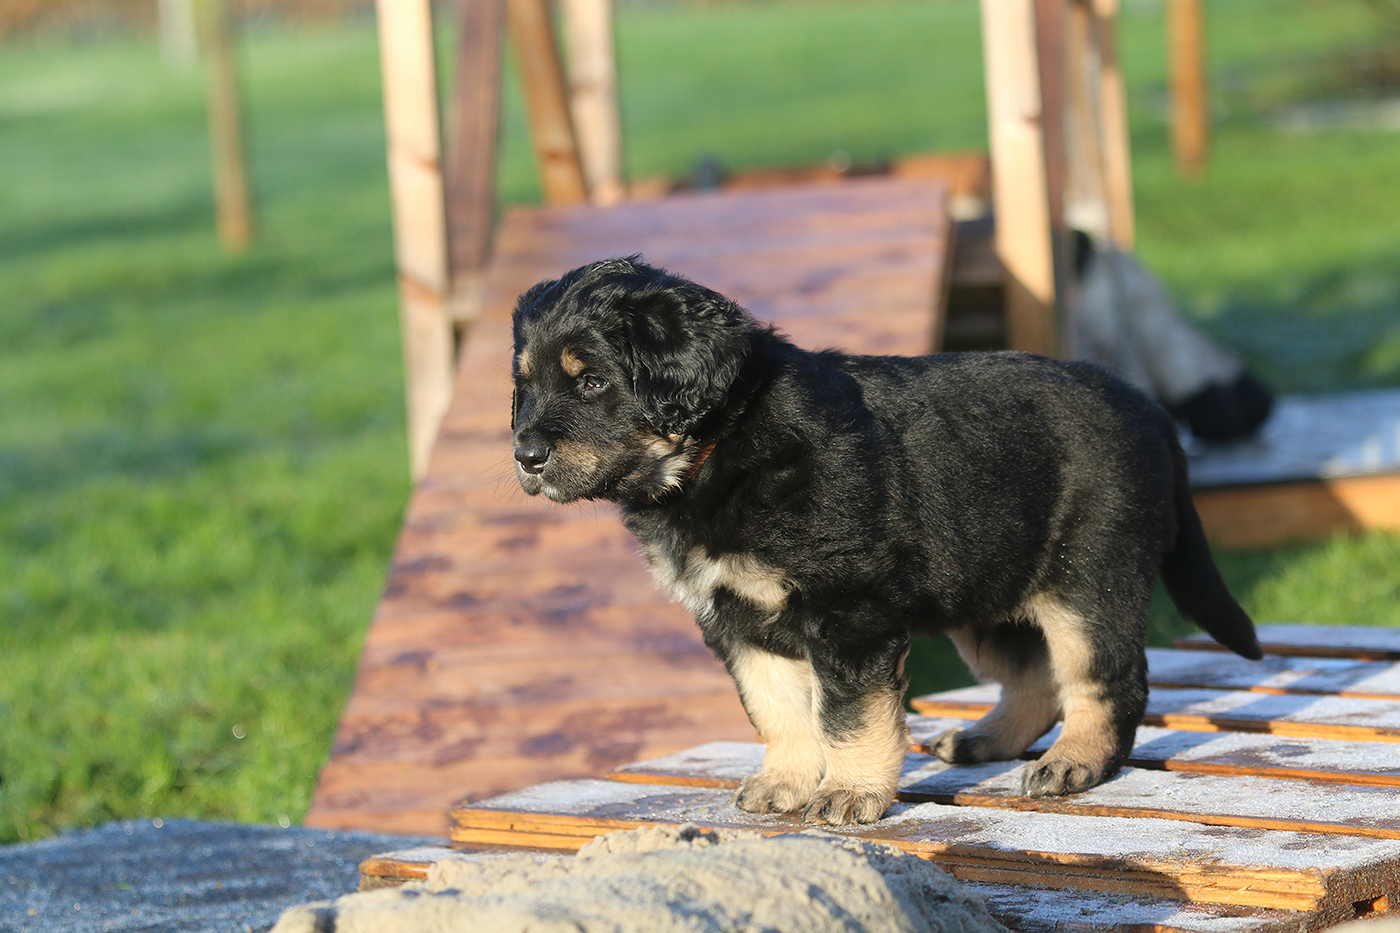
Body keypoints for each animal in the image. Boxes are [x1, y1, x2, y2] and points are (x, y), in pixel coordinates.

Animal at [509, 257, 1262, 826]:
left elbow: (848, 714)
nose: (525, 455)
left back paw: (1075, 761)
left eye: (593, 381)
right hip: (990, 585)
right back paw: (982, 739)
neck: (719, 450)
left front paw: (849, 793)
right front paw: (785, 781)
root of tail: (1149, 409)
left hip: (1088, 577)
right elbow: (778, 708)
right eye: (525, 385)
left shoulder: (850, 610)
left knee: (1105, 676)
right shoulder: (738, 619)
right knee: (1034, 675)